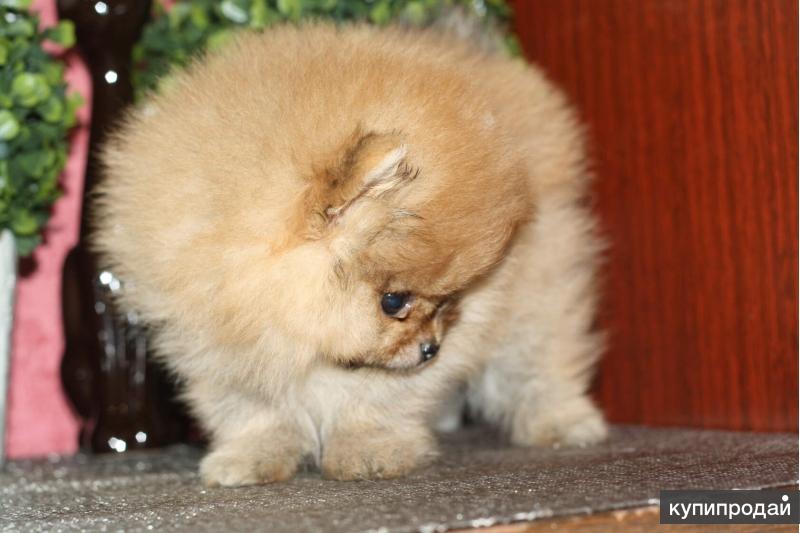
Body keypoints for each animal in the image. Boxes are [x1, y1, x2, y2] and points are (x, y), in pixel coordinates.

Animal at [93, 22, 607, 486]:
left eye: (449, 301)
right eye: (394, 302)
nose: (431, 349)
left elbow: (370, 402)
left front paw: (369, 451)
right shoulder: (215, 346)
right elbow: (255, 410)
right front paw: (252, 457)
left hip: (537, 292)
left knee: (538, 361)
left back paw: (564, 421)